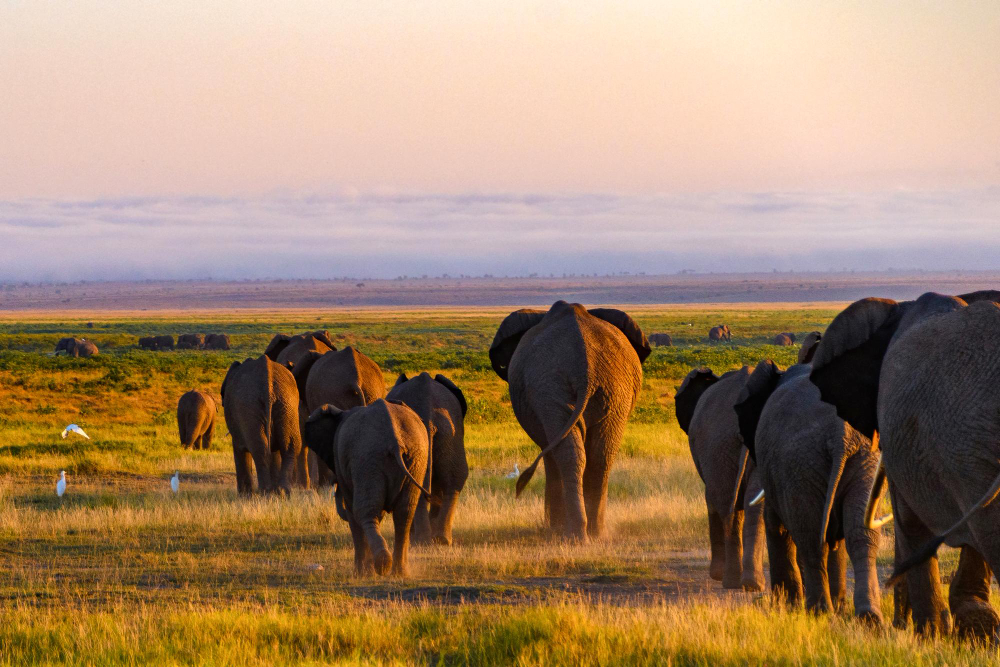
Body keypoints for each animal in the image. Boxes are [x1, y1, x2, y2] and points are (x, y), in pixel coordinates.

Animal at [221, 355, 302, 496]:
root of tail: (267, 380)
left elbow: (239, 448)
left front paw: (245, 496)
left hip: (249, 406)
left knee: (259, 447)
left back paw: (266, 492)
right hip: (287, 404)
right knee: (289, 446)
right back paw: (282, 492)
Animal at [304, 399, 430, 576]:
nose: (334, 485)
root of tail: (395, 440)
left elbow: (352, 511)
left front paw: (360, 573)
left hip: (367, 459)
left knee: (364, 511)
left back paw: (381, 566)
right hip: (416, 459)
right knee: (403, 512)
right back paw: (398, 572)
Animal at [489, 300, 650, 542]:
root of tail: (586, 370)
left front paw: (551, 528)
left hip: (551, 386)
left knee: (571, 455)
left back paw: (572, 533)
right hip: (612, 390)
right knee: (600, 455)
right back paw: (593, 534)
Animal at [674, 366, 766, 591]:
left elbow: (711, 501)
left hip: (719, 448)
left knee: (727, 507)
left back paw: (736, 582)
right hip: (721, 448)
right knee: (739, 508)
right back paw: (746, 584)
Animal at [733, 360, 886, 624]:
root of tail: (841, 434)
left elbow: (777, 526)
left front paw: (786, 605)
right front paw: (839, 607)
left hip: (801, 461)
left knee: (811, 537)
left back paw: (819, 611)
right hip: (863, 460)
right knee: (859, 533)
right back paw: (868, 618)